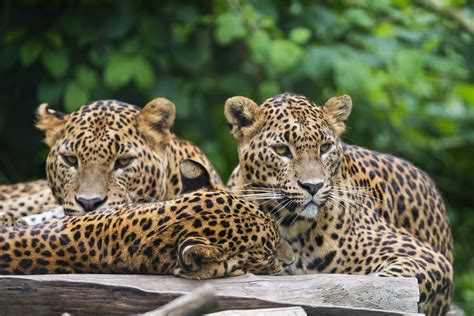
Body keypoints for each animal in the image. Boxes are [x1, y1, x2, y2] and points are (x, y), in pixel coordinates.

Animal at [224, 92, 454, 314]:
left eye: (325, 148)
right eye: (281, 150)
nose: (313, 186)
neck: (290, 225)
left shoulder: (427, 256)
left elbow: (386, 287)